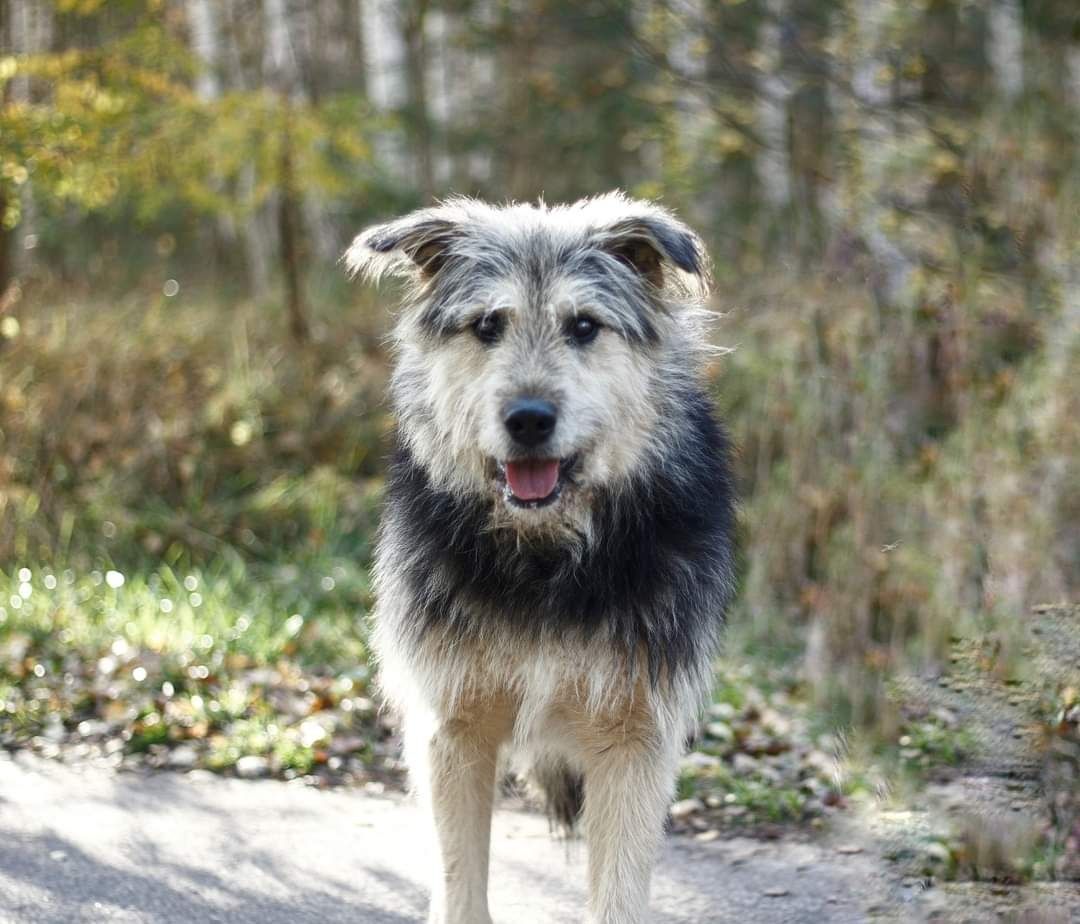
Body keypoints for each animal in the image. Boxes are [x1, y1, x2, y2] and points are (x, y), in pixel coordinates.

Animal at [345, 189, 734, 924]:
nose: (528, 419)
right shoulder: (454, 728)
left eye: (583, 326)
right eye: (487, 325)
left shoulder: (635, 737)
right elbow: (460, 882)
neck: (546, 557)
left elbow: (618, 894)